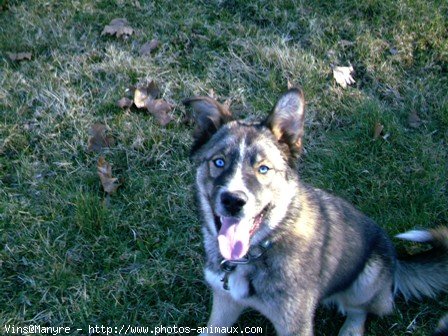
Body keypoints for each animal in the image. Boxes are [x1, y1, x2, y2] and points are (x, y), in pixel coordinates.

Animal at [183, 89, 448, 336]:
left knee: (362, 310)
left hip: (368, 278)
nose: (233, 200)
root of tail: (397, 263)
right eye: (219, 162)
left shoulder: (295, 324)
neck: (259, 250)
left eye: (263, 168)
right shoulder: (224, 301)